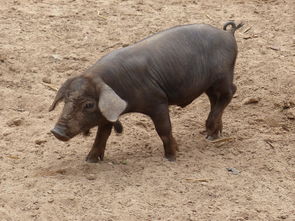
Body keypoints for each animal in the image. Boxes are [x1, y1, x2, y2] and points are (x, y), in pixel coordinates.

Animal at [49, 20, 244, 162]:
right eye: (66, 100)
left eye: (88, 104)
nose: (56, 131)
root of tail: (228, 34)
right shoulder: (107, 113)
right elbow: (101, 135)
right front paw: (90, 160)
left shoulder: (158, 102)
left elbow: (164, 129)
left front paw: (171, 157)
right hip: (209, 84)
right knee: (214, 99)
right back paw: (212, 135)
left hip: (223, 76)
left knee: (230, 92)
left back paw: (209, 133)